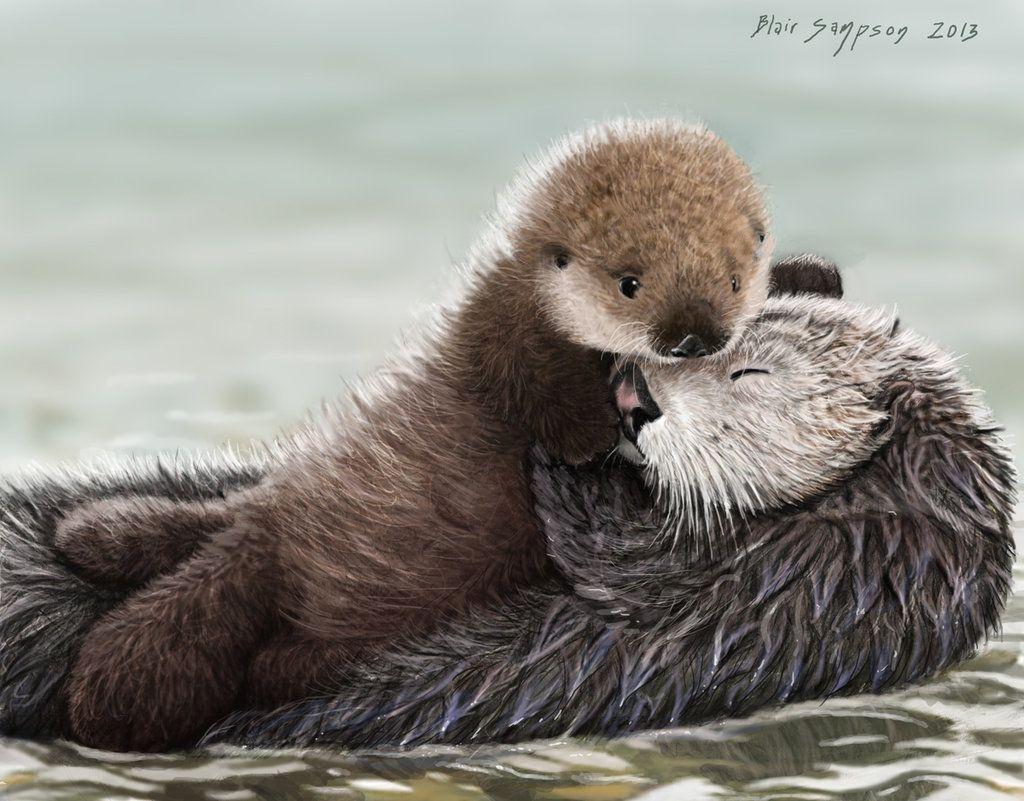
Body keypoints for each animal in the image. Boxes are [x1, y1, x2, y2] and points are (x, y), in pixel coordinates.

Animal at [45, 119, 776, 752]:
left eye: (735, 278)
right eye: (629, 284)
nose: (694, 336)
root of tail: (260, 534)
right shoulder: (508, 333)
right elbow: (542, 394)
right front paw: (592, 434)